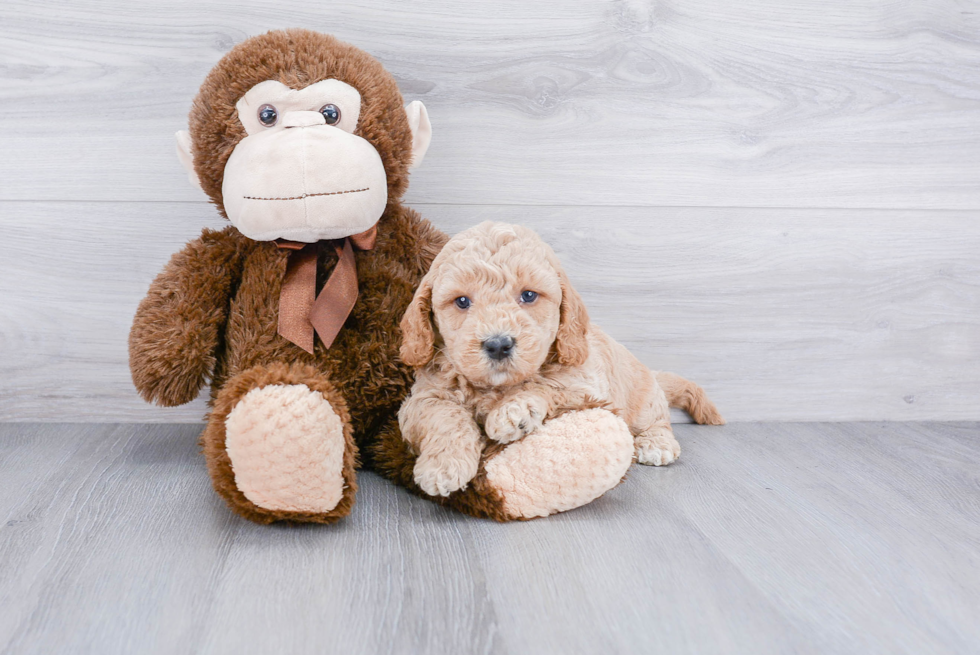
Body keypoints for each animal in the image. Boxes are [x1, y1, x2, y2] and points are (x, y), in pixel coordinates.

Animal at [394, 220, 724, 498]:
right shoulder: (420, 399)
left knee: (658, 420)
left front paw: (513, 411)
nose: (499, 344)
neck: (495, 388)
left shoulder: (587, 387)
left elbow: (545, 385)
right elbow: (445, 415)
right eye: (462, 301)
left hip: (643, 401)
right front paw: (443, 466)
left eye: (528, 295)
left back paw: (657, 443)